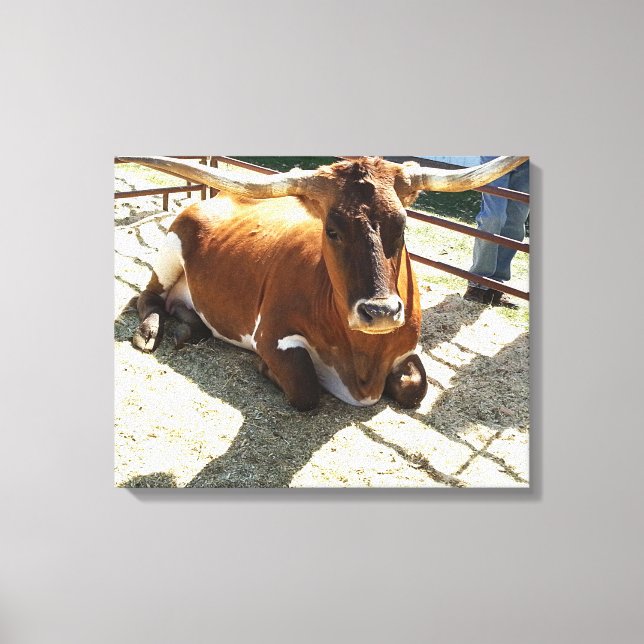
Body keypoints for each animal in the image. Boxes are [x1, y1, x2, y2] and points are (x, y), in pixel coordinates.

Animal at [119, 155, 527, 411]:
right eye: (332, 230)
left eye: (403, 224)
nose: (380, 312)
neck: (364, 359)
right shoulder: (273, 336)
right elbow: (306, 389)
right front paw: (266, 370)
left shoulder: (410, 348)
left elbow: (416, 389)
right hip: (171, 248)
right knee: (147, 298)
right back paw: (149, 333)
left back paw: (189, 329)